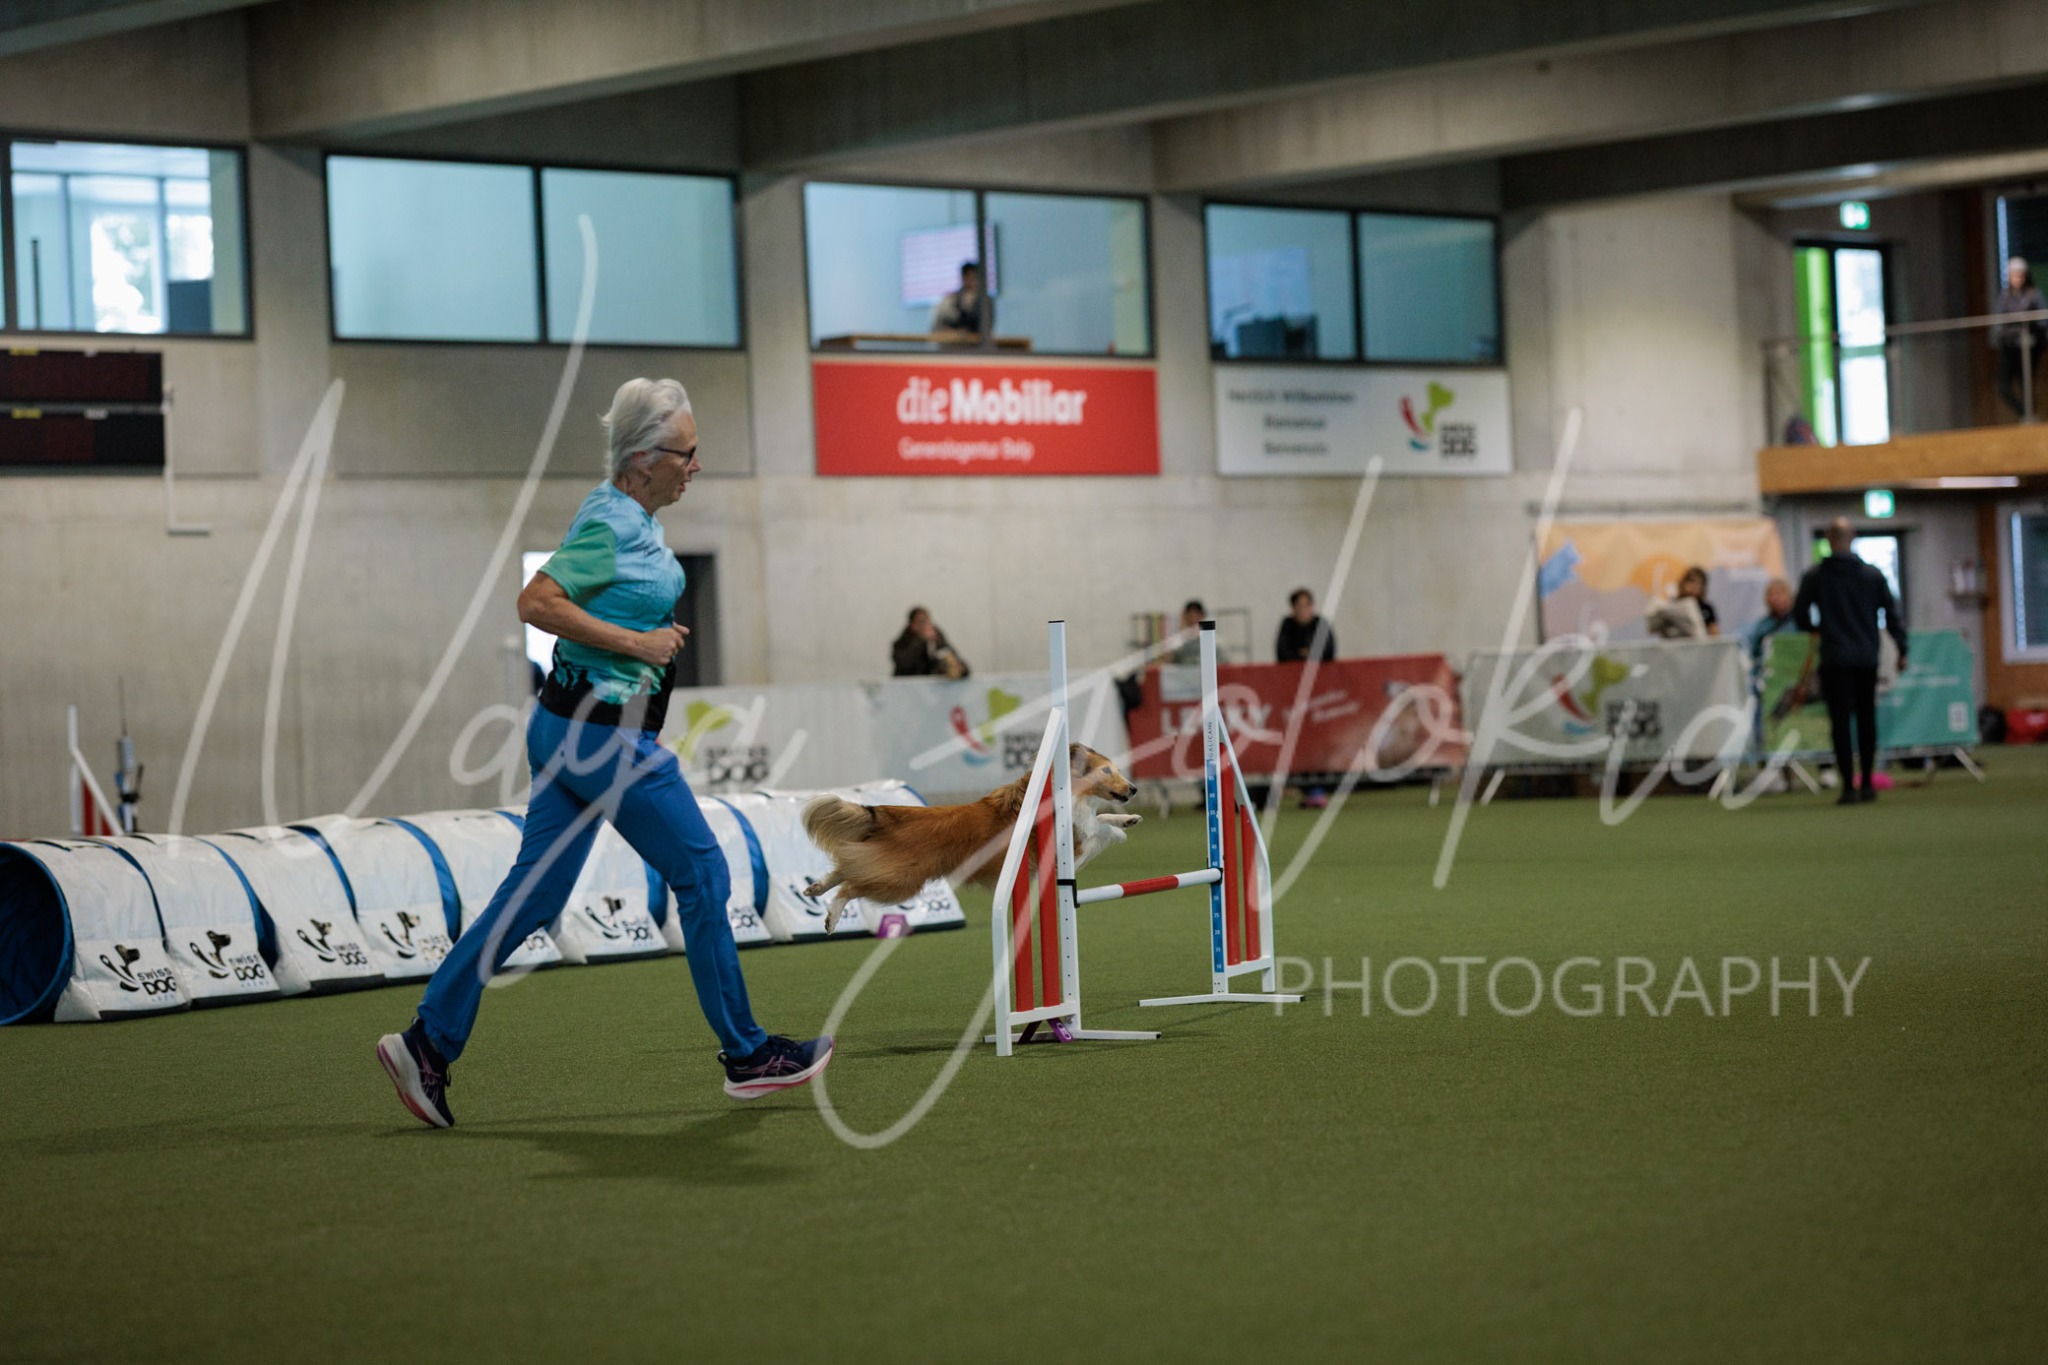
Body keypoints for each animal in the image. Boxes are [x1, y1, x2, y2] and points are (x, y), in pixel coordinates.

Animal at [802, 743, 1142, 931]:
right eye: (1107, 771)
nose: (1134, 789)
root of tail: (887, 811)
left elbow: (1100, 817)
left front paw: (1128, 819)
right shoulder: (1074, 849)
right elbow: (1098, 826)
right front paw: (1119, 830)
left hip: (882, 867)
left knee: (844, 868)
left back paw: (815, 888)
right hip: (899, 880)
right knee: (849, 885)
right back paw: (832, 917)